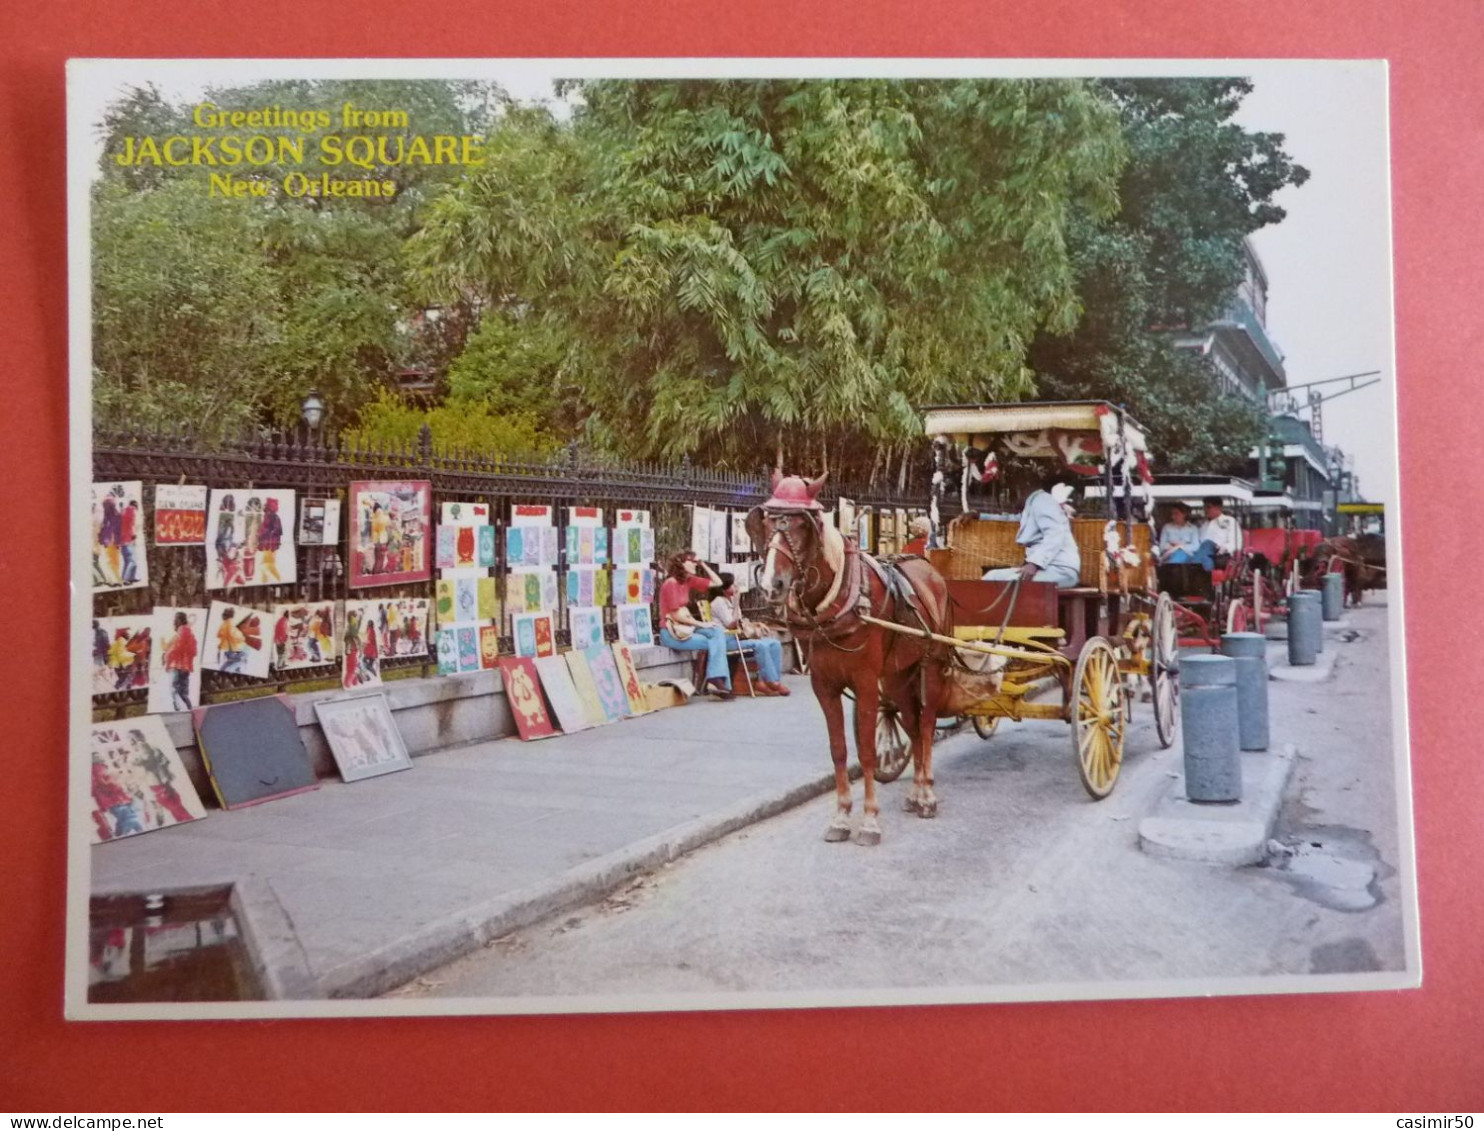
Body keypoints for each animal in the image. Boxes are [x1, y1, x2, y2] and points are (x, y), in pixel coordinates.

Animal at [753, 463, 949, 843]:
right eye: (768, 521)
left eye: (804, 524)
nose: (772, 585)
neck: (841, 600)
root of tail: (930, 570)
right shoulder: (824, 685)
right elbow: (840, 750)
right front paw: (842, 817)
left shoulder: (866, 682)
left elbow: (869, 752)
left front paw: (870, 820)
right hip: (898, 676)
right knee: (913, 727)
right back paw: (915, 792)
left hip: (929, 666)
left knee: (928, 723)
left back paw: (928, 794)